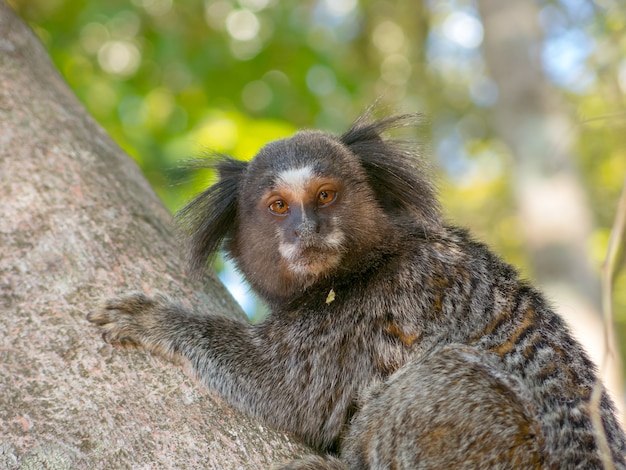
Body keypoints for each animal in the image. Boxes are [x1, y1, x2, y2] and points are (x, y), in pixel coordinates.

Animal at [86, 112, 624, 468]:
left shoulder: (373, 308)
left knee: (441, 374)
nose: (307, 229)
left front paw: (157, 320)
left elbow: (286, 392)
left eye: (325, 196)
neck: (362, 266)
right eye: (279, 206)